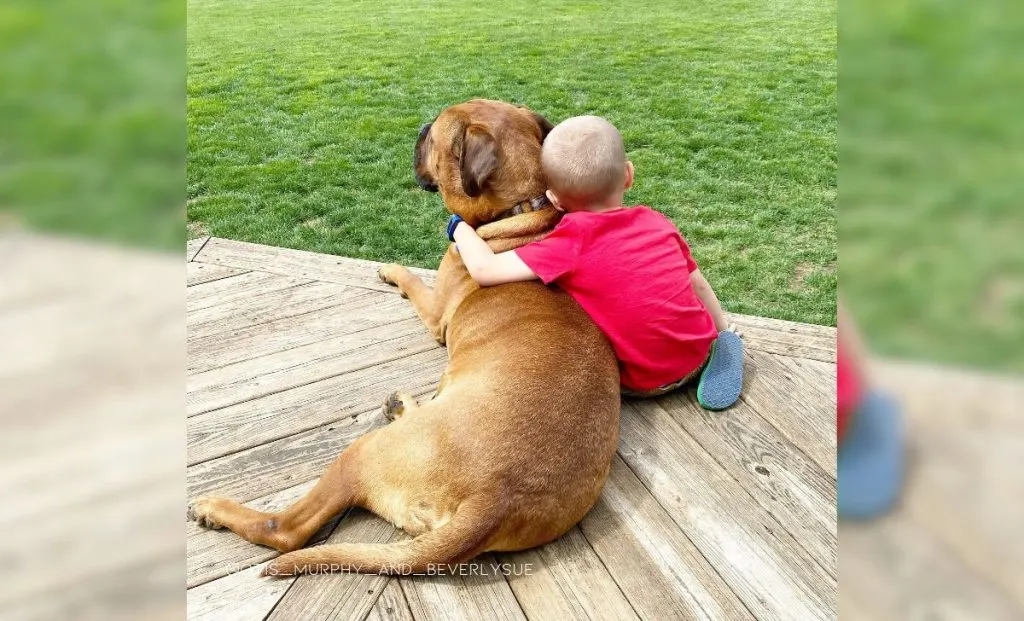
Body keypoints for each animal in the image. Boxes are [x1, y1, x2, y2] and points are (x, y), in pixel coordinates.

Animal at [185, 98, 618, 577]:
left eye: (434, 135)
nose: (423, 125)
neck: (522, 210)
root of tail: (492, 501)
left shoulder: (434, 313)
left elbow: (413, 279)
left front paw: (392, 269)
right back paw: (404, 406)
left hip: (361, 454)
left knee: (284, 528)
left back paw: (216, 509)